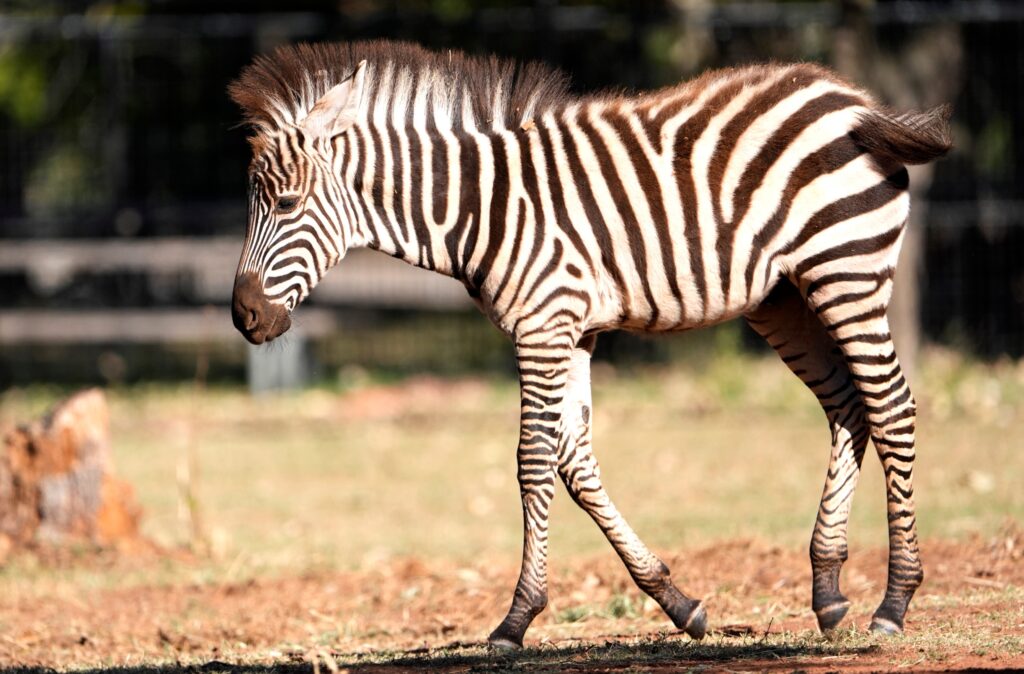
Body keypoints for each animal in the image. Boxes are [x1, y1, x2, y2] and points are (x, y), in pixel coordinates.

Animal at [229, 41, 951, 647]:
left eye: (287, 205)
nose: (244, 317)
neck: (479, 207)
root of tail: (851, 98)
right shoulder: (572, 331)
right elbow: (574, 464)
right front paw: (678, 602)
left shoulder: (544, 325)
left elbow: (532, 462)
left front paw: (515, 621)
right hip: (784, 299)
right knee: (848, 407)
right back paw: (828, 590)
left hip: (845, 271)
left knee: (891, 406)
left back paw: (895, 602)